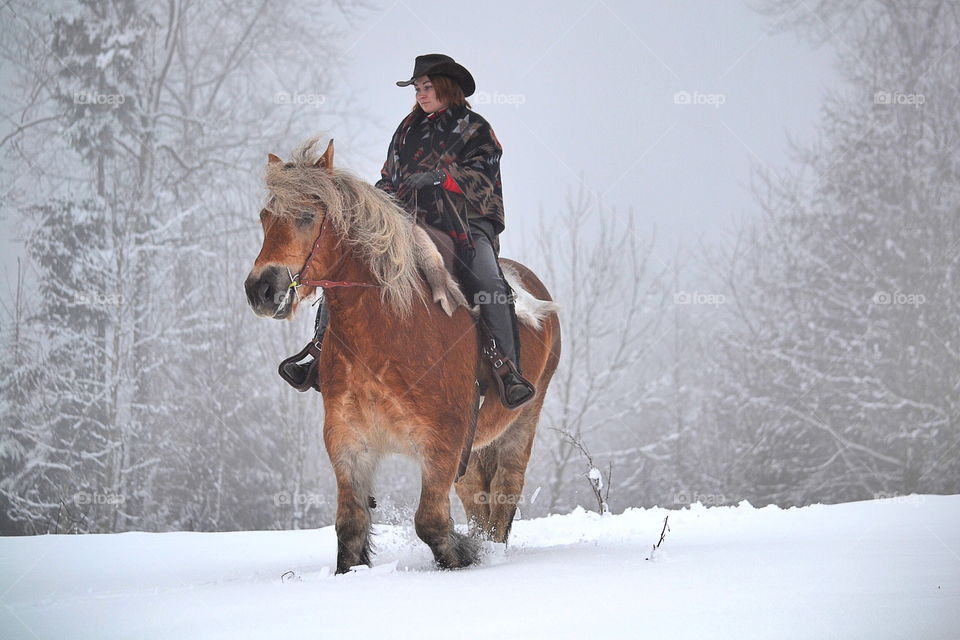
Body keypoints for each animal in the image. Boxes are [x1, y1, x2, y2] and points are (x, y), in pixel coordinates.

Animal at [242, 138, 564, 572]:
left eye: (307, 216)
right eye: (265, 217)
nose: (260, 289)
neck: (387, 331)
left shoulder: (443, 441)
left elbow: (430, 522)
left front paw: (464, 554)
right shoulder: (347, 440)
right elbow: (351, 526)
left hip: (523, 419)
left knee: (505, 487)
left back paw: (492, 549)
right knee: (476, 492)